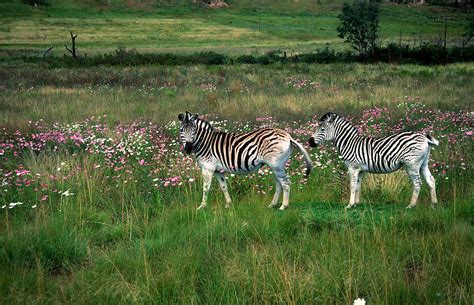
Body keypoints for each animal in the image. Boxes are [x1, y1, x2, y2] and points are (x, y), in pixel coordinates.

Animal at [176, 111, 312, 209]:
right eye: (181, 130)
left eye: (194, 130)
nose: (188, 148)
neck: (205, 142)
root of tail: (288, 135)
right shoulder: (218, 171)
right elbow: (224, 187)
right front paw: (229, 204)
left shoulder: (208, 168)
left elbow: (205, 187)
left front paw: (202, 207)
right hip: (276, 165)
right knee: (279, 183)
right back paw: (272, 204)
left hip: (276, 164)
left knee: (285, 183)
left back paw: (283, 206)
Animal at [310, 111, 438, 209]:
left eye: (322, 129)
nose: (310, 142)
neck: (349, 143)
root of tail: (424, 138)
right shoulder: (360, 170)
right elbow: (358, 186)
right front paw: (356, 204)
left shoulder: (353, 168)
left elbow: (352, 186)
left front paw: (349, 205)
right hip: (423, 163)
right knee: (431, 180)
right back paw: (433, 204)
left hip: (412, 165)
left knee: (417, 183)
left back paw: (411, 205)